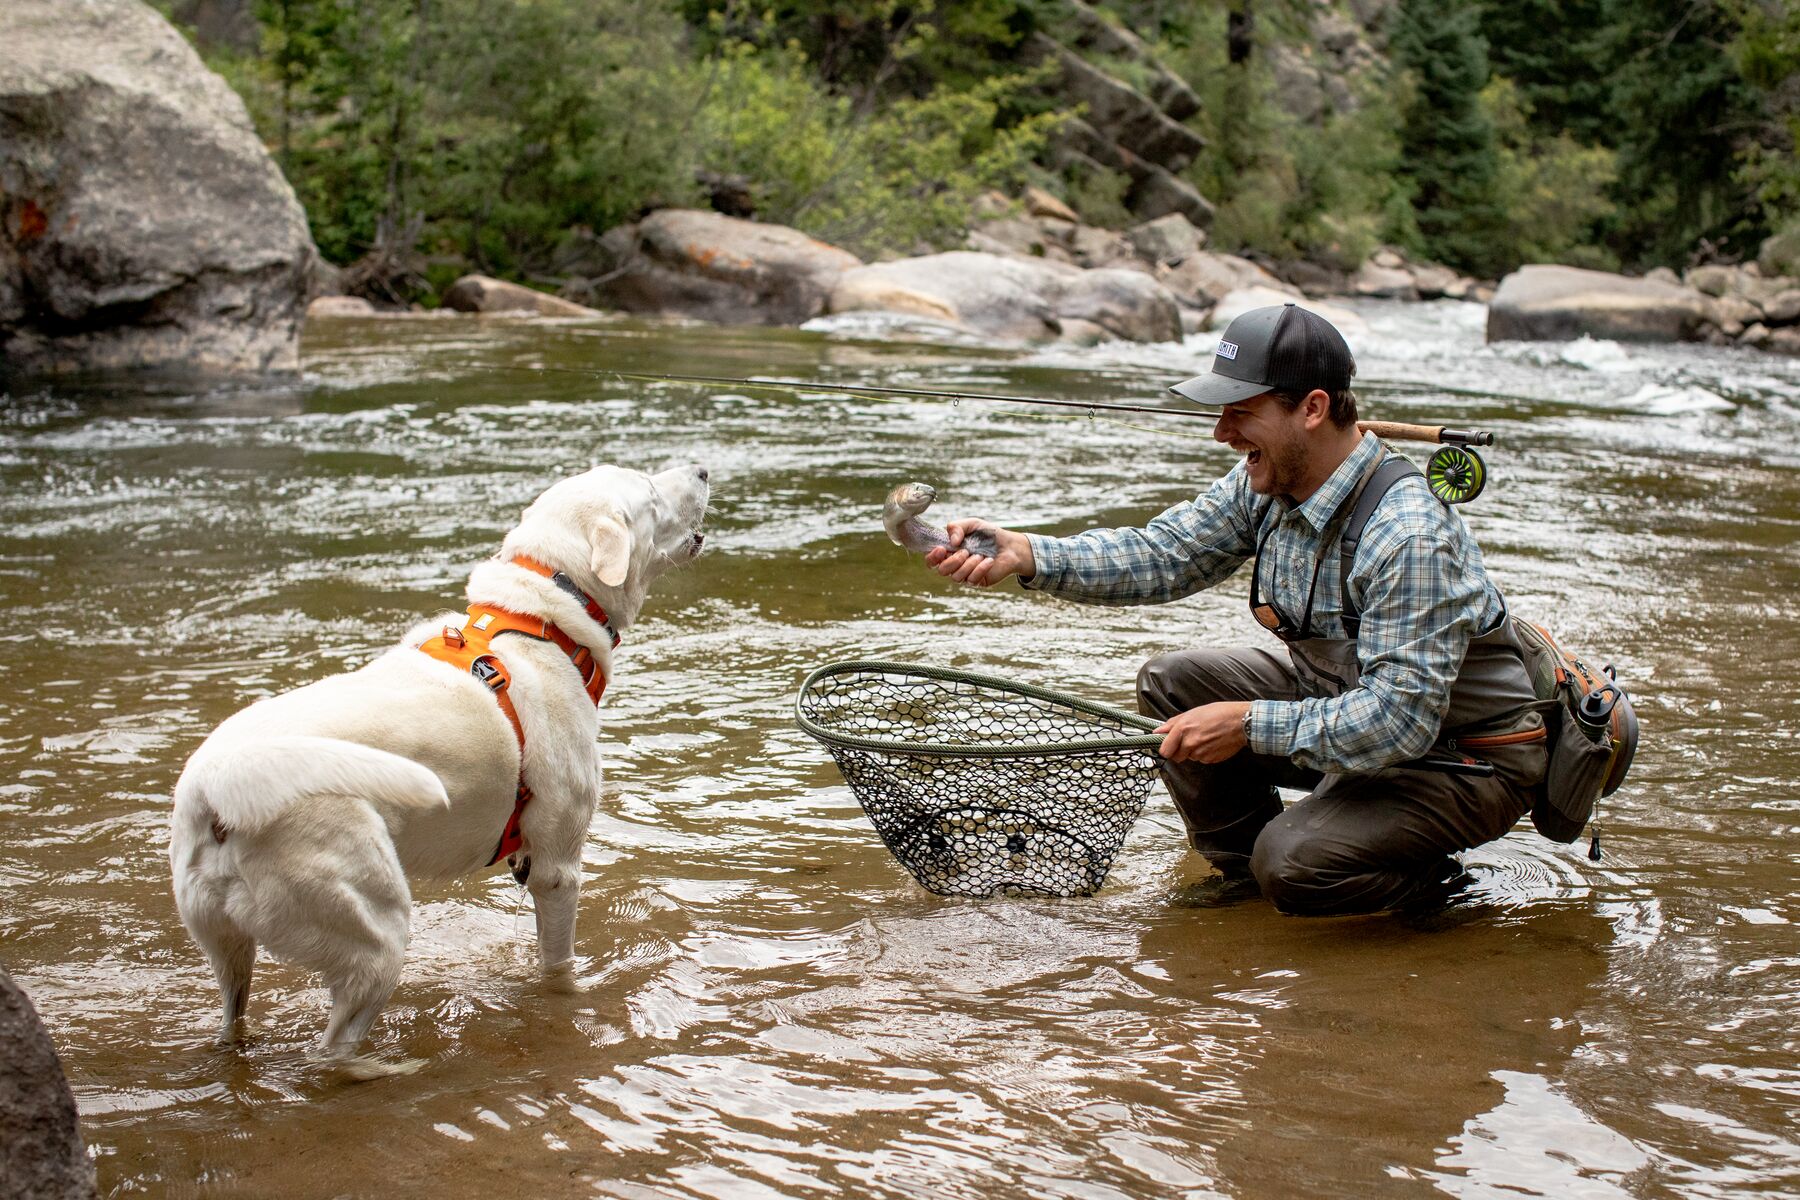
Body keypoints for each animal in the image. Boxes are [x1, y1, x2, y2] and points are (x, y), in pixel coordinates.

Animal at [170, 464, 709, 1065]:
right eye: (651, 491)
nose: (703, 469)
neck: (544, 618)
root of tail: (208, 787)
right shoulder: (557, 869)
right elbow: (558, 966)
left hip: (225, 945)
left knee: (233, 1016)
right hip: (374, 932)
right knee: (333, 1049)